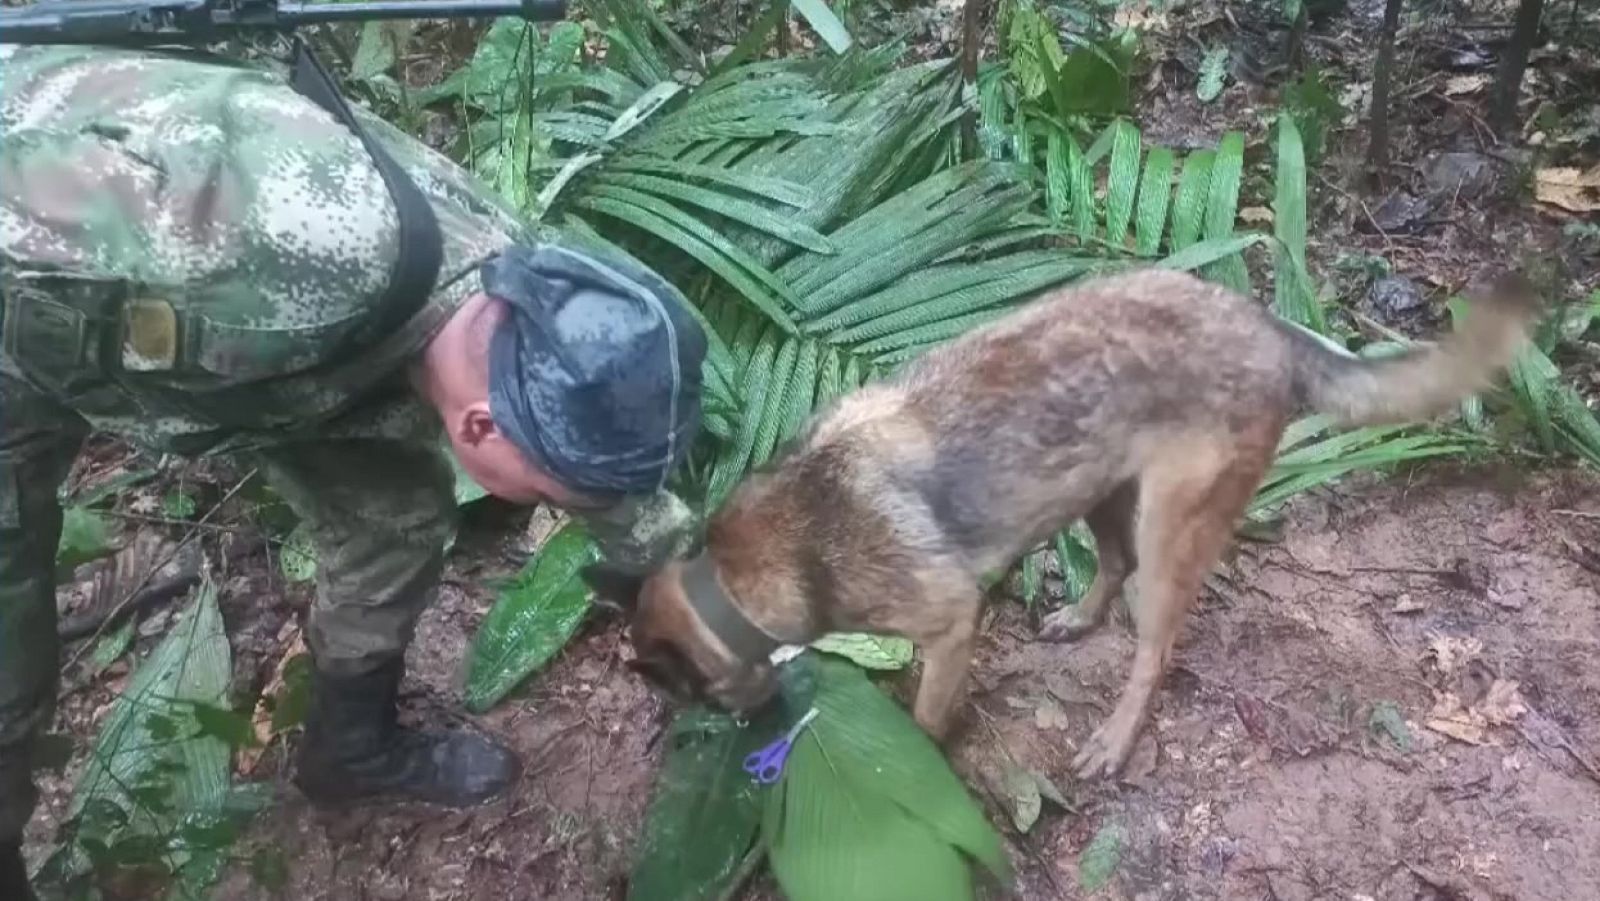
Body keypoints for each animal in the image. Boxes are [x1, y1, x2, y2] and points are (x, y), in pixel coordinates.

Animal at [585, 265, 1536, 774]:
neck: (745, 572)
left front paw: (925, 753)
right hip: (1101, 492)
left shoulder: (949, 620)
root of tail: (1267, 324)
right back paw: (1078, 618)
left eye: (689, 696)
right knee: (1110, 568)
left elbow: (925, 714)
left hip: (1169, 526)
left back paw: (1114, 736)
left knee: (1154, 645)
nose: (753, 732)